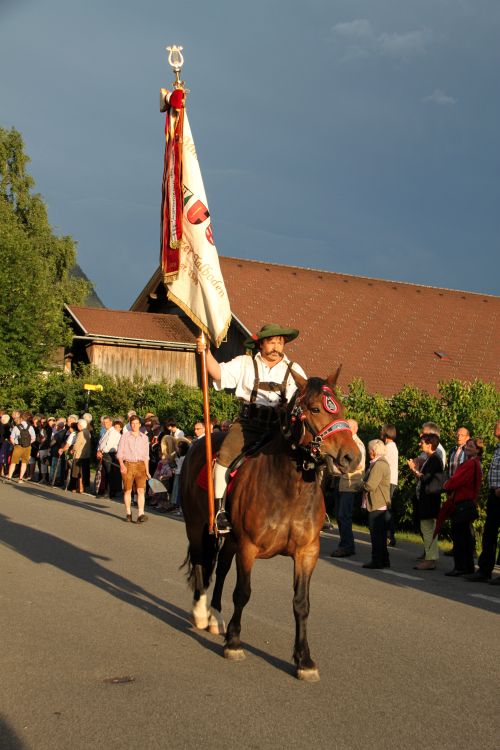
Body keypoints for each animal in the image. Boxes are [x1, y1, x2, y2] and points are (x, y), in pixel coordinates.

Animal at [180, 370, 360, 680]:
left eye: (341, 408)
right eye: (316, 409)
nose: (352, 457)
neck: (289, 488)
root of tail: (198, 443)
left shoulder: (307, 553)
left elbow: (301, 603)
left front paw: (304, 659)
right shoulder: (249, 548)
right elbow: (243, 593)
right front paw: (234, 643)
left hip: (230, 540)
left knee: (221, 568)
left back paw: (215, 616)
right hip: (196, 526)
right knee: (203, 563)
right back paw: (202, 613)